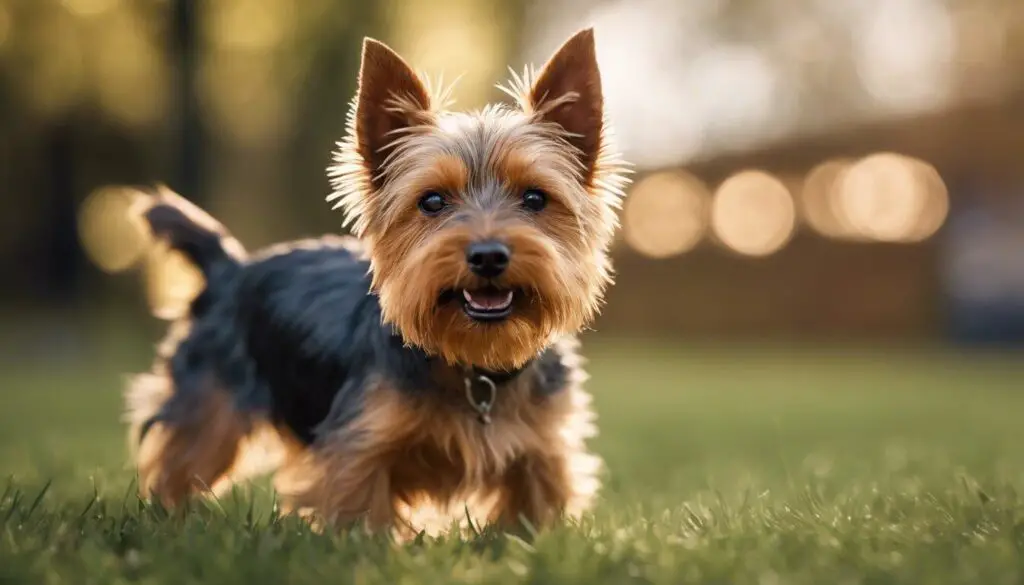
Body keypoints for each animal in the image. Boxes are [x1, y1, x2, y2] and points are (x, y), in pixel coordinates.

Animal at [123, 29, 626, 536]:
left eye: (535, 198)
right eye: (432, 201)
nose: (488, 255)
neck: (474, 363)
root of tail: (230, 268)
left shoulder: (542, 452)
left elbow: (529, 518)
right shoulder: (359, 447)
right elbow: (363, 517)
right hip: (210, 402)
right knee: (183, 463)